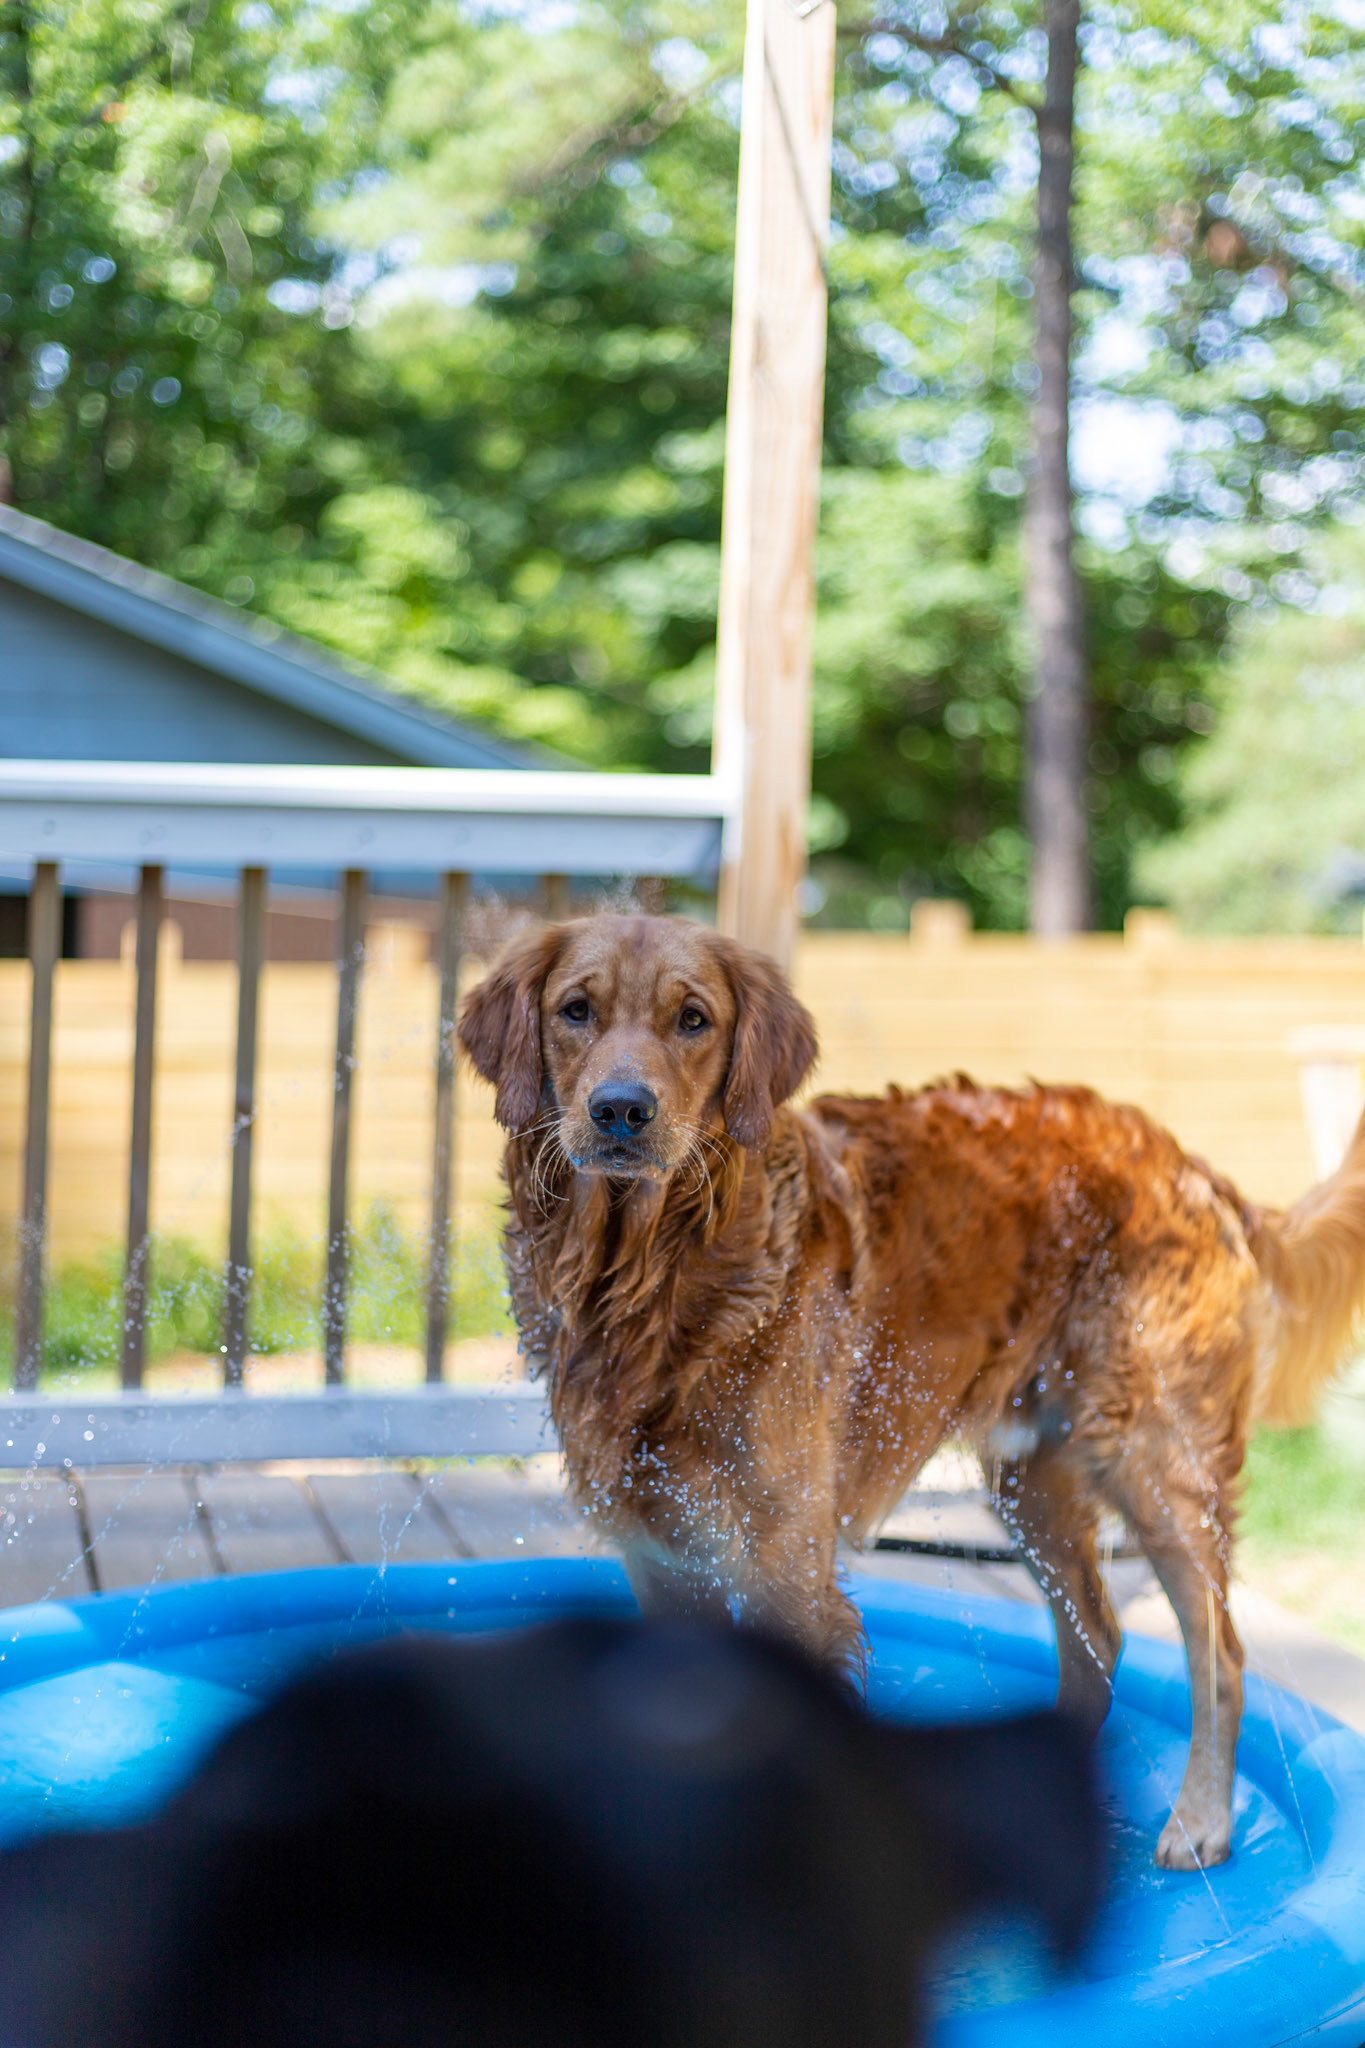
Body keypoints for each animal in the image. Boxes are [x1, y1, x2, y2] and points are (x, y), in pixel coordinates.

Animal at [459, 912, 1365, 1871]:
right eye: (576, 1010)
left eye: (693, 1020)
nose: (621, 1109)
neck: (657, 1275)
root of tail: (1183, 1159)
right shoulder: (660, 1555)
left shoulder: (785, 1565)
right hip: (1030, 1481)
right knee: (1098, 1633)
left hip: (1152, 1460)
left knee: (1218, 1652)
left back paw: (1197, 1823)